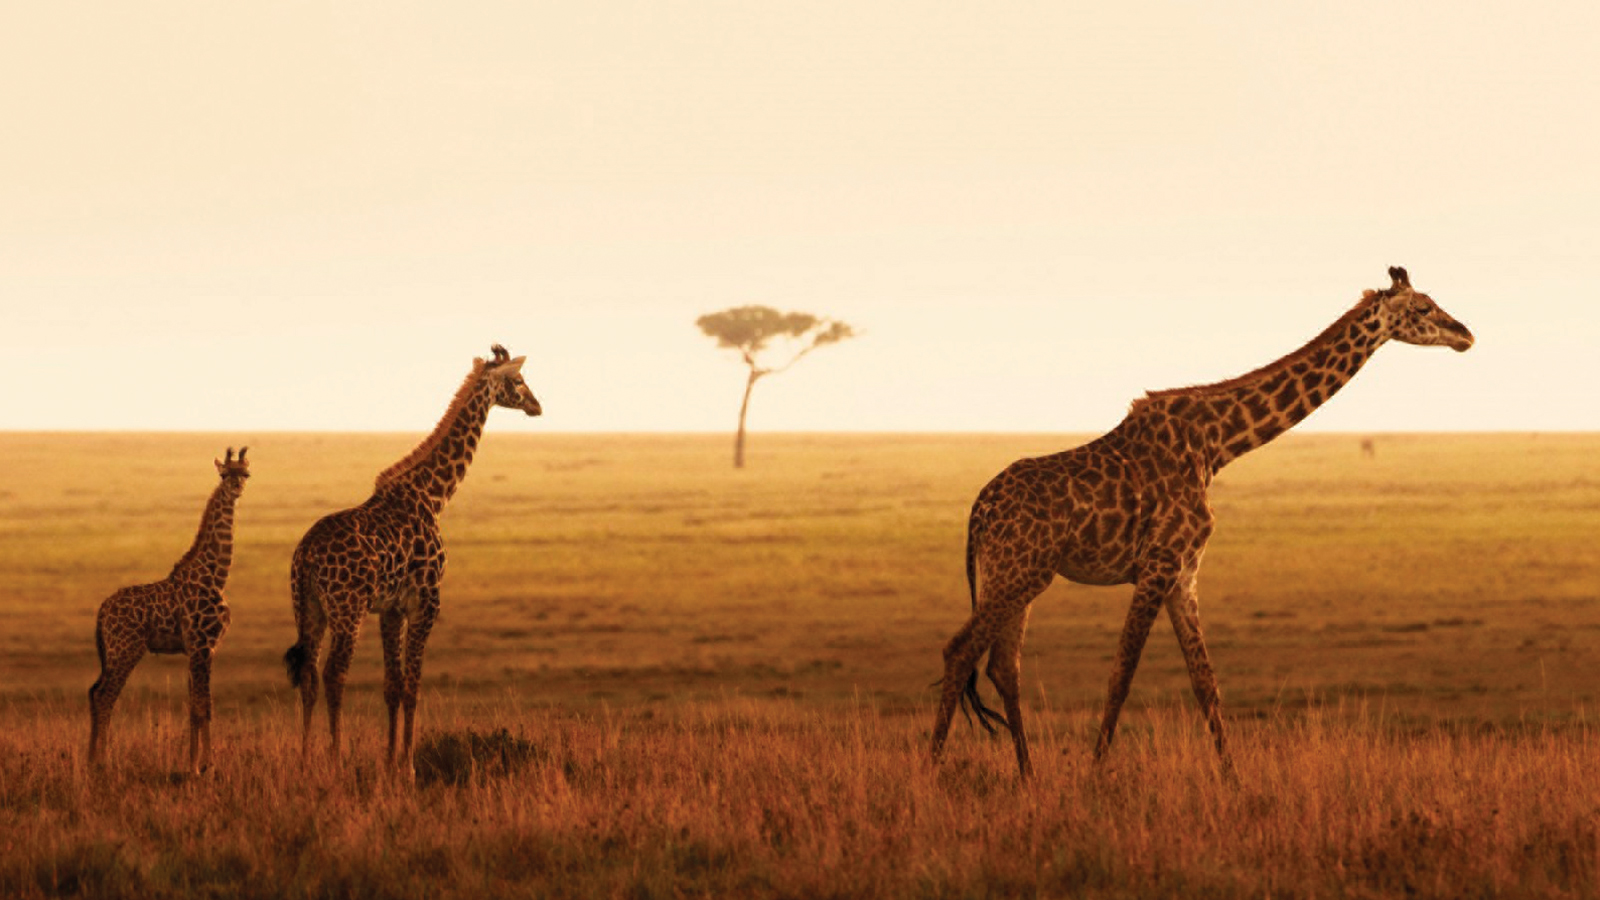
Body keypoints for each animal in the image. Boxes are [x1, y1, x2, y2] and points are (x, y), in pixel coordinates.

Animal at [89, 447, 251, 774]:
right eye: (224, 474)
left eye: (246, 474)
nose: (236, 488)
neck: (216, 577)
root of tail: (102, 612)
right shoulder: (203, 646)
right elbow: (204, 705)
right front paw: (206, 766)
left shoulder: (197, 649)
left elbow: (194, 706)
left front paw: (193, 765)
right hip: (126, 650)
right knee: (104, 695)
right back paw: (103, 763)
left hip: (112, 652)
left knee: (94, 691)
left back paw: (91, 760)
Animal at [283, 344, 541, 774]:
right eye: (518, 380)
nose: (537, 405)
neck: (433, 496)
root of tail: (305, 556)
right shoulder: (426, 601)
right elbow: (413, 685)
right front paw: (408, 765)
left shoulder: (390, 608)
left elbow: (393, 685)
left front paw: (390, 761)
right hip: (347, 610)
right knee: (334, 674)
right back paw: (335, 759)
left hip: (309, 607)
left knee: (308, 674)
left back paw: (304, 760)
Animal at [930, 267, 1474, 777]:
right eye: (1423, 308)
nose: (1465, 334)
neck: (1217, 445)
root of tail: (977, 512)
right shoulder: (1158, 563)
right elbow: (1122, 673)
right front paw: (1093, 777)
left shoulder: (1184, 572)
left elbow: (1205, 682)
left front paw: (1233, 780)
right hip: (1019, 572)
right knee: (960, 650)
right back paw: (933, 772)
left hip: (1013, 576)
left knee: (1004, 666)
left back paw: (1027, 776)